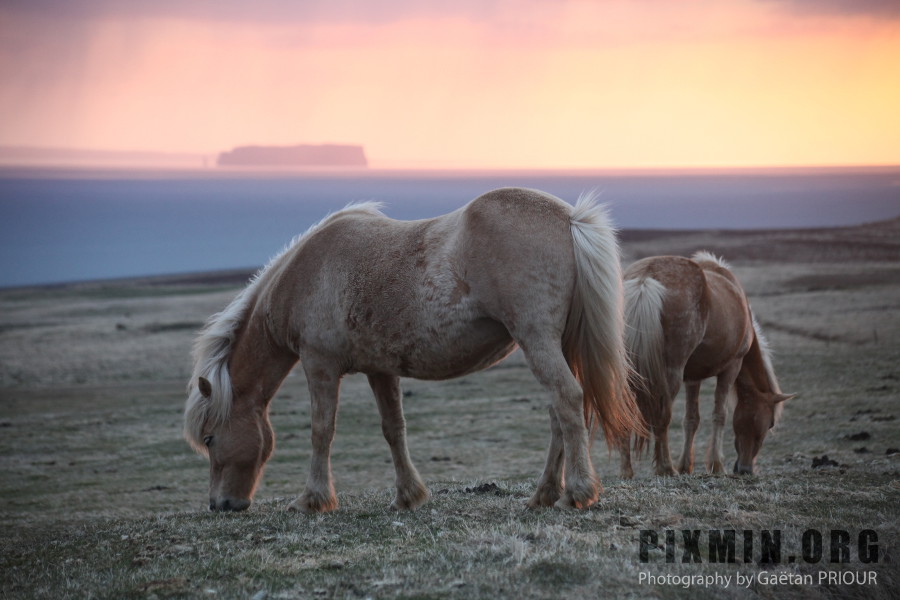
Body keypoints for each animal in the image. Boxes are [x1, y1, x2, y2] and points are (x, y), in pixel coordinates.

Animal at [186, 188, 644, 510]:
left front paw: (313, 500)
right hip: (553, 345)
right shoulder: (380, 369)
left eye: (209, 438)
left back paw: (578, 492)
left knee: (567, 401)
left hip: (537, 340)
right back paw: (544, 494)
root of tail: (570, 218)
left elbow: (322, 431)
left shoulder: (320, 365)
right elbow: (394, 429)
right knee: (558, 415)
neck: (305, 274)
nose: (221, 505)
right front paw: (409, 495)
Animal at [624, 253, 792, 478]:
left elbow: (691, 420)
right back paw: (666, 468)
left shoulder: (693, 378)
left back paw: (627, 471)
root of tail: (645, 277)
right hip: (671, 374)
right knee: (663, 417)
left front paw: (686, 466)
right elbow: (719, 415)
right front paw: (716, 465)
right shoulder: (731, 368)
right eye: (770, 423)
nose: (745, 469)